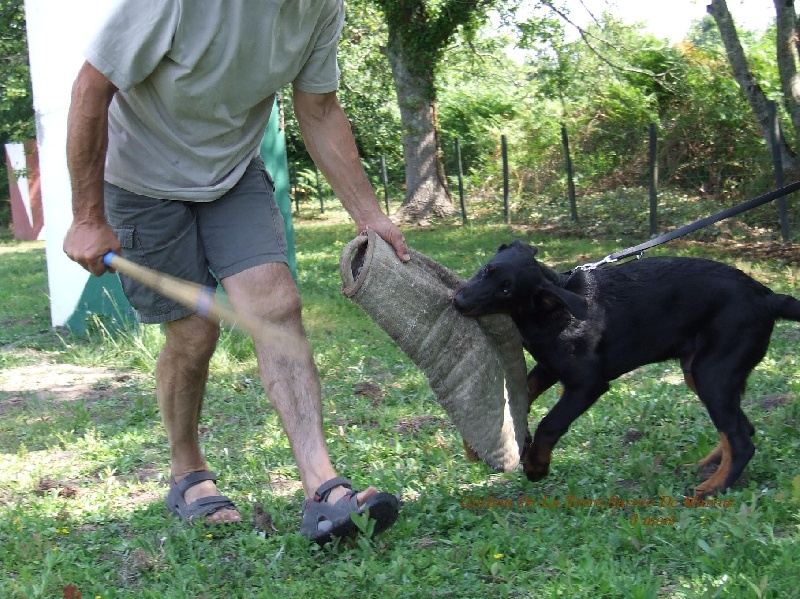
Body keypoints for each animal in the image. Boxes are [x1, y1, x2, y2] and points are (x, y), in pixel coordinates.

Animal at [454, 239, 796, 496]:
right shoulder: (549, 367)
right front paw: (478, 444)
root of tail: (768, 297)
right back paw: (702, 469)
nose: (458, 301)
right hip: (700, 372)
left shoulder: (587, 384)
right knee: (742, 428)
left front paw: (537, 466)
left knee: (740, 439)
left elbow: (550, 424)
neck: (550, 311)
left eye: (506, 290)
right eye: (486, 270)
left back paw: (712, 488)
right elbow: (521, 393)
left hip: (712, 374)